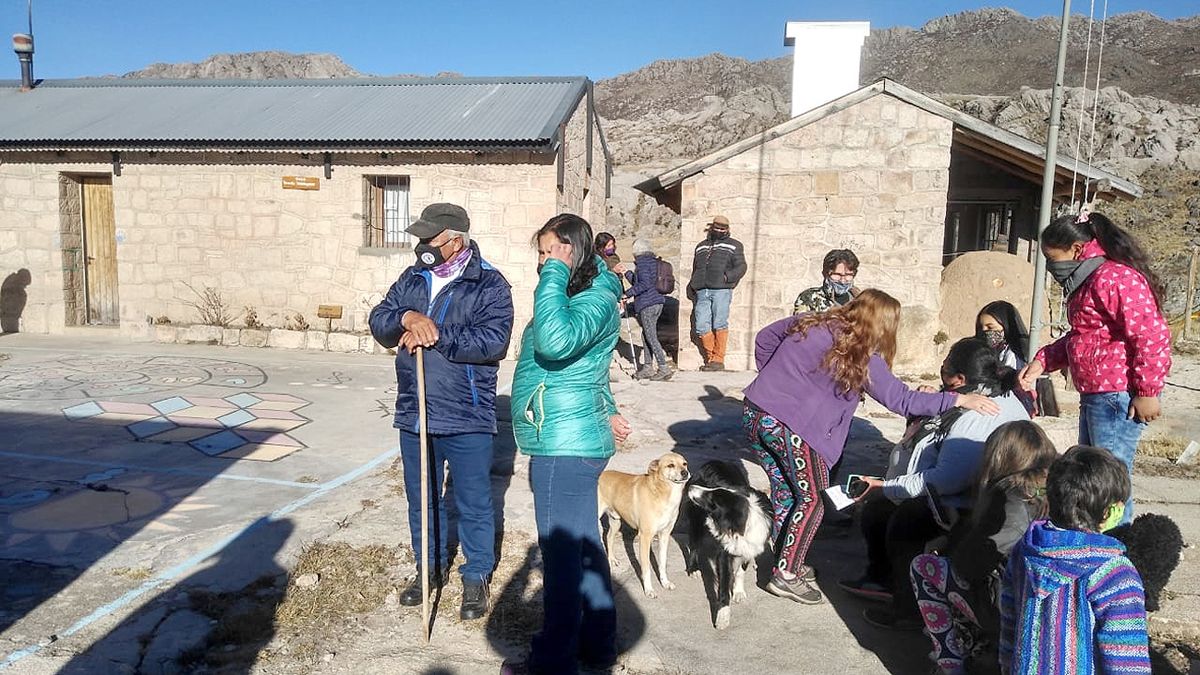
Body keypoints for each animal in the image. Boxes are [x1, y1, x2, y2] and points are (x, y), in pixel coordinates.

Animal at [597, 452, 690, 598]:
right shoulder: (645, 537)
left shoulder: (665, 535)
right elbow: (646, 569)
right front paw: (649, 590)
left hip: (615, 520)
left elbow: (662, 563)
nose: (685, 473)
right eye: (670, 465)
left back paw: (612, 560)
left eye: (684, 463)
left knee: (609, 537)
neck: (662, 492)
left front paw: (665, 583)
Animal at [683, 460, 772, 629]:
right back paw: (693, 569)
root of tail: (712, 462)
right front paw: (722, 616)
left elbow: (741, 571)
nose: (690, 487)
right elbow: (723, 585)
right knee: (694, 544)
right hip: (696, 519)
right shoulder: (724, 554)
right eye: (713, 491)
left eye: (712, 499)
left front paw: (738, 591)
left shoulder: (748, 547)